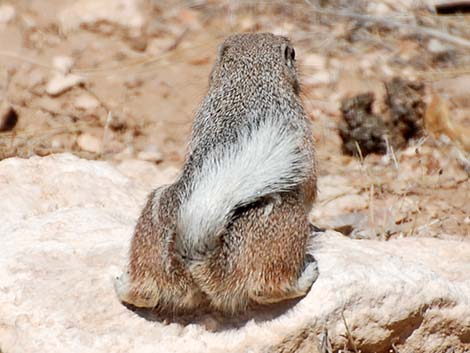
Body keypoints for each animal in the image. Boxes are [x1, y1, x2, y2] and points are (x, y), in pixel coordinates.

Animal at [114, 33, 320, 314]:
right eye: (293, 52)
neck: (249, 79)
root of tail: (201, 258)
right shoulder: (301, 131)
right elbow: (310, 186)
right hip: (288, 222)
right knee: (266, 289)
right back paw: (306, 276)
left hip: (153, 215)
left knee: (144, 293)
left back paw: (122, 284)